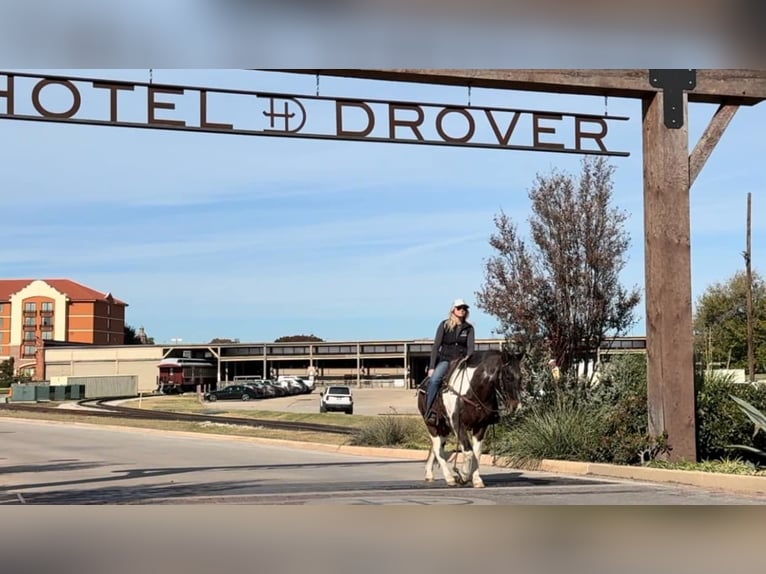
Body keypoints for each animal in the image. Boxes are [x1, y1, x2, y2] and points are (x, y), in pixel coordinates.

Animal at [416, 346, 524, 490]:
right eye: (508, 377)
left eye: (521, 377)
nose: (517, 407)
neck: (473, 391)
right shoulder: (457, 423)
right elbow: (468, 451)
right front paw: (462, 475)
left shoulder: (481, 426)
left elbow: (476, 453)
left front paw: (476, 480)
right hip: (432, 425)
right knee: (438, 449)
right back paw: (449, 478)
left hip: (444, 428)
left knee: (435, 447)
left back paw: (429, 473)